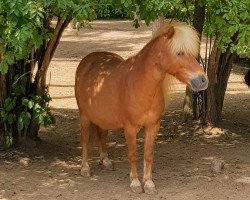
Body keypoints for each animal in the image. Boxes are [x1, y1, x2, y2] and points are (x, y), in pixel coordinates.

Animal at [75, 21, 208, 195]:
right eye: (179, 53)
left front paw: (149, 183)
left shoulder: (153, 126)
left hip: (103, 117)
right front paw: (136, 183)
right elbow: (133, 155)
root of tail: (87, 61)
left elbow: (148, 154)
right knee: (84, 139)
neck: (140, 84)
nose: (203, 80)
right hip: (84, 116)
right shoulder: (130, 128)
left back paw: (106, 161)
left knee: (101, 135)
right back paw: (85, 168)